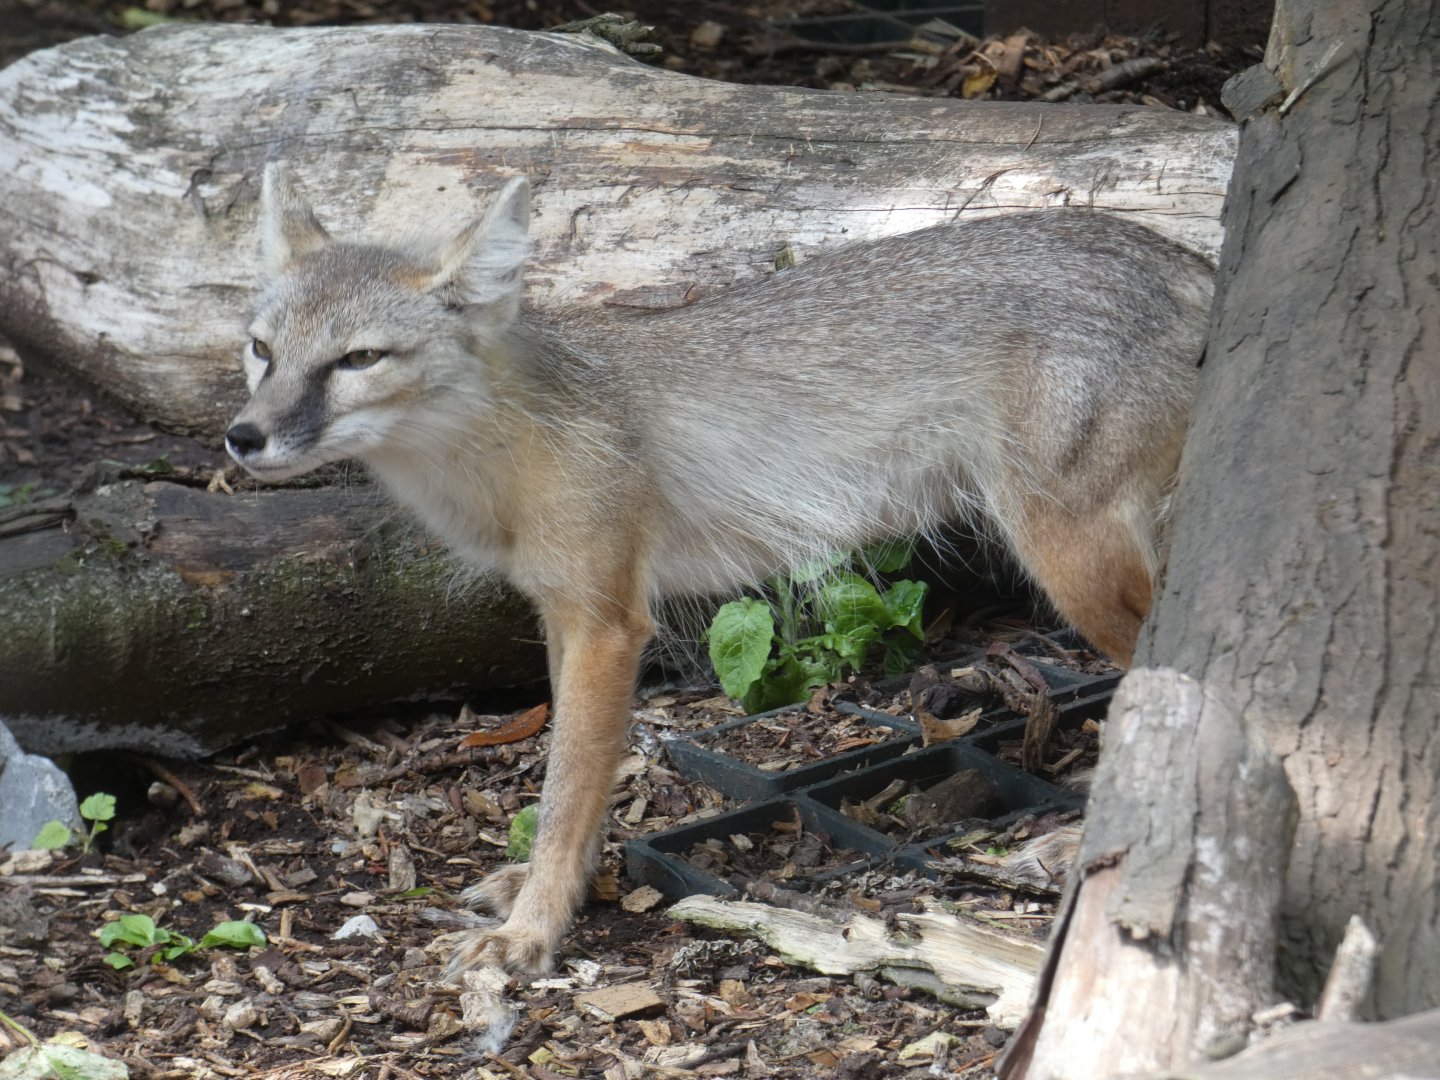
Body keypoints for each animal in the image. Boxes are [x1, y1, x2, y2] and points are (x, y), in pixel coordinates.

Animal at [226, 164, 1213, 976]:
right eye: (261, 350)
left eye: (358, 359)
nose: (243, 437)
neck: (506, 447)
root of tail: (1177, 254)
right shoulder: (565, 615)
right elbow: (583, 782)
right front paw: (550, 891)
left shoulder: (610, 625)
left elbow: (564, 788)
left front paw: (534, 934)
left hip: (1071, 562)